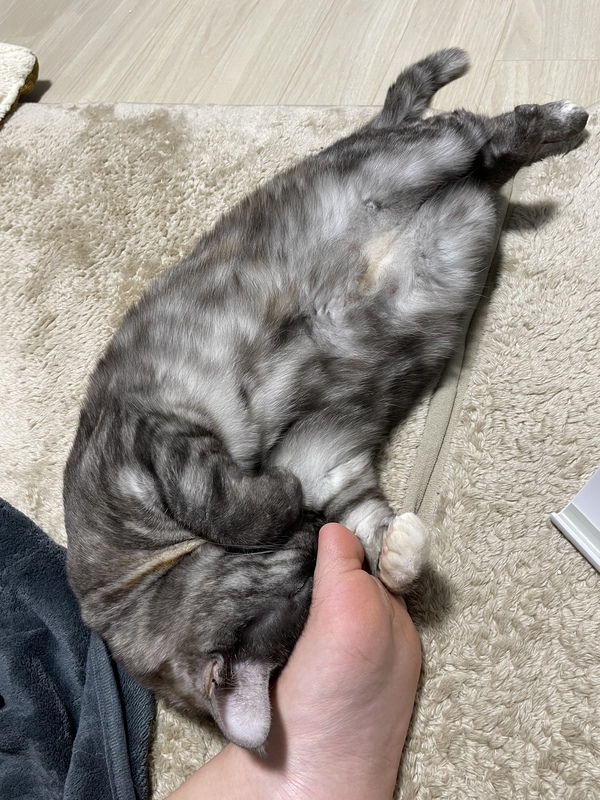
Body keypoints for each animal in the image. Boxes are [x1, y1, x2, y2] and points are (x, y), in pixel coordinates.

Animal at [63, 48, 588, 750]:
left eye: (303, 571)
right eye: (305, 589)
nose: (317, 531)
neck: (138, 571)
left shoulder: (150, 443)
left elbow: (231, 505)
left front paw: (275, 494)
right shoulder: (331, 465)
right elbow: (364, 519)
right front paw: (396, 553)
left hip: (408, 158)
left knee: (477, 127)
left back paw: (563, 119)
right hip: (453, 197)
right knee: (489, 160)